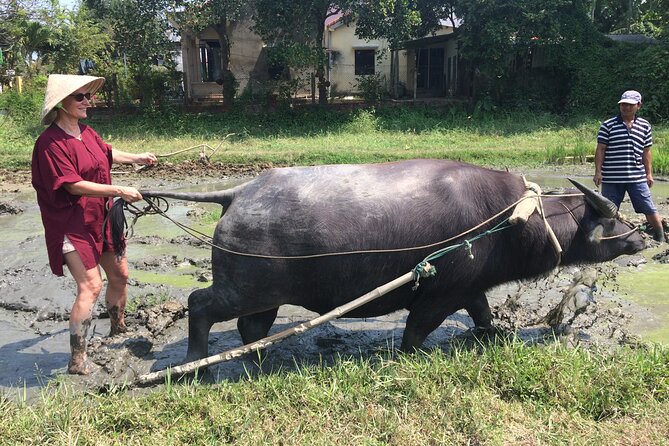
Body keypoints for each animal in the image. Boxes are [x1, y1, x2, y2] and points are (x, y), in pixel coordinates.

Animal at [111, 159, 645, 363]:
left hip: (263, 295)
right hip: (242, 287)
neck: (510, 218)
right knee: (200, 304)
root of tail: (238, 194)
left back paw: (256, 357)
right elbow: (416, 331)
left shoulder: (469, 288)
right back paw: (197, 362)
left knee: (251, 327)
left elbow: (483, 314)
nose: (643, 237)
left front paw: (495, 336)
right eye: (612, 217)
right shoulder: (437, 295)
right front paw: (412, 355)